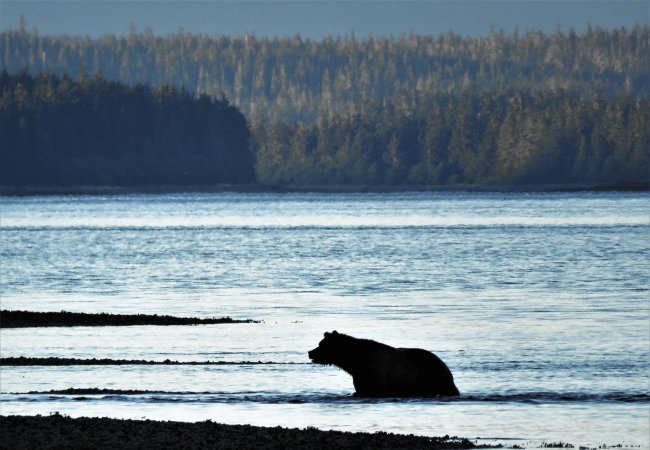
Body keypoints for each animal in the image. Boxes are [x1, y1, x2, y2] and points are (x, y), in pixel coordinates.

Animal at [308, 330, 456, 398]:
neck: (355, 360)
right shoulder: (359, 374)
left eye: (321, 345)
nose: (310, 352)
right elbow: (360, 388)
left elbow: (374, 387)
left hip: (429, 376)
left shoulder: (373, 369)